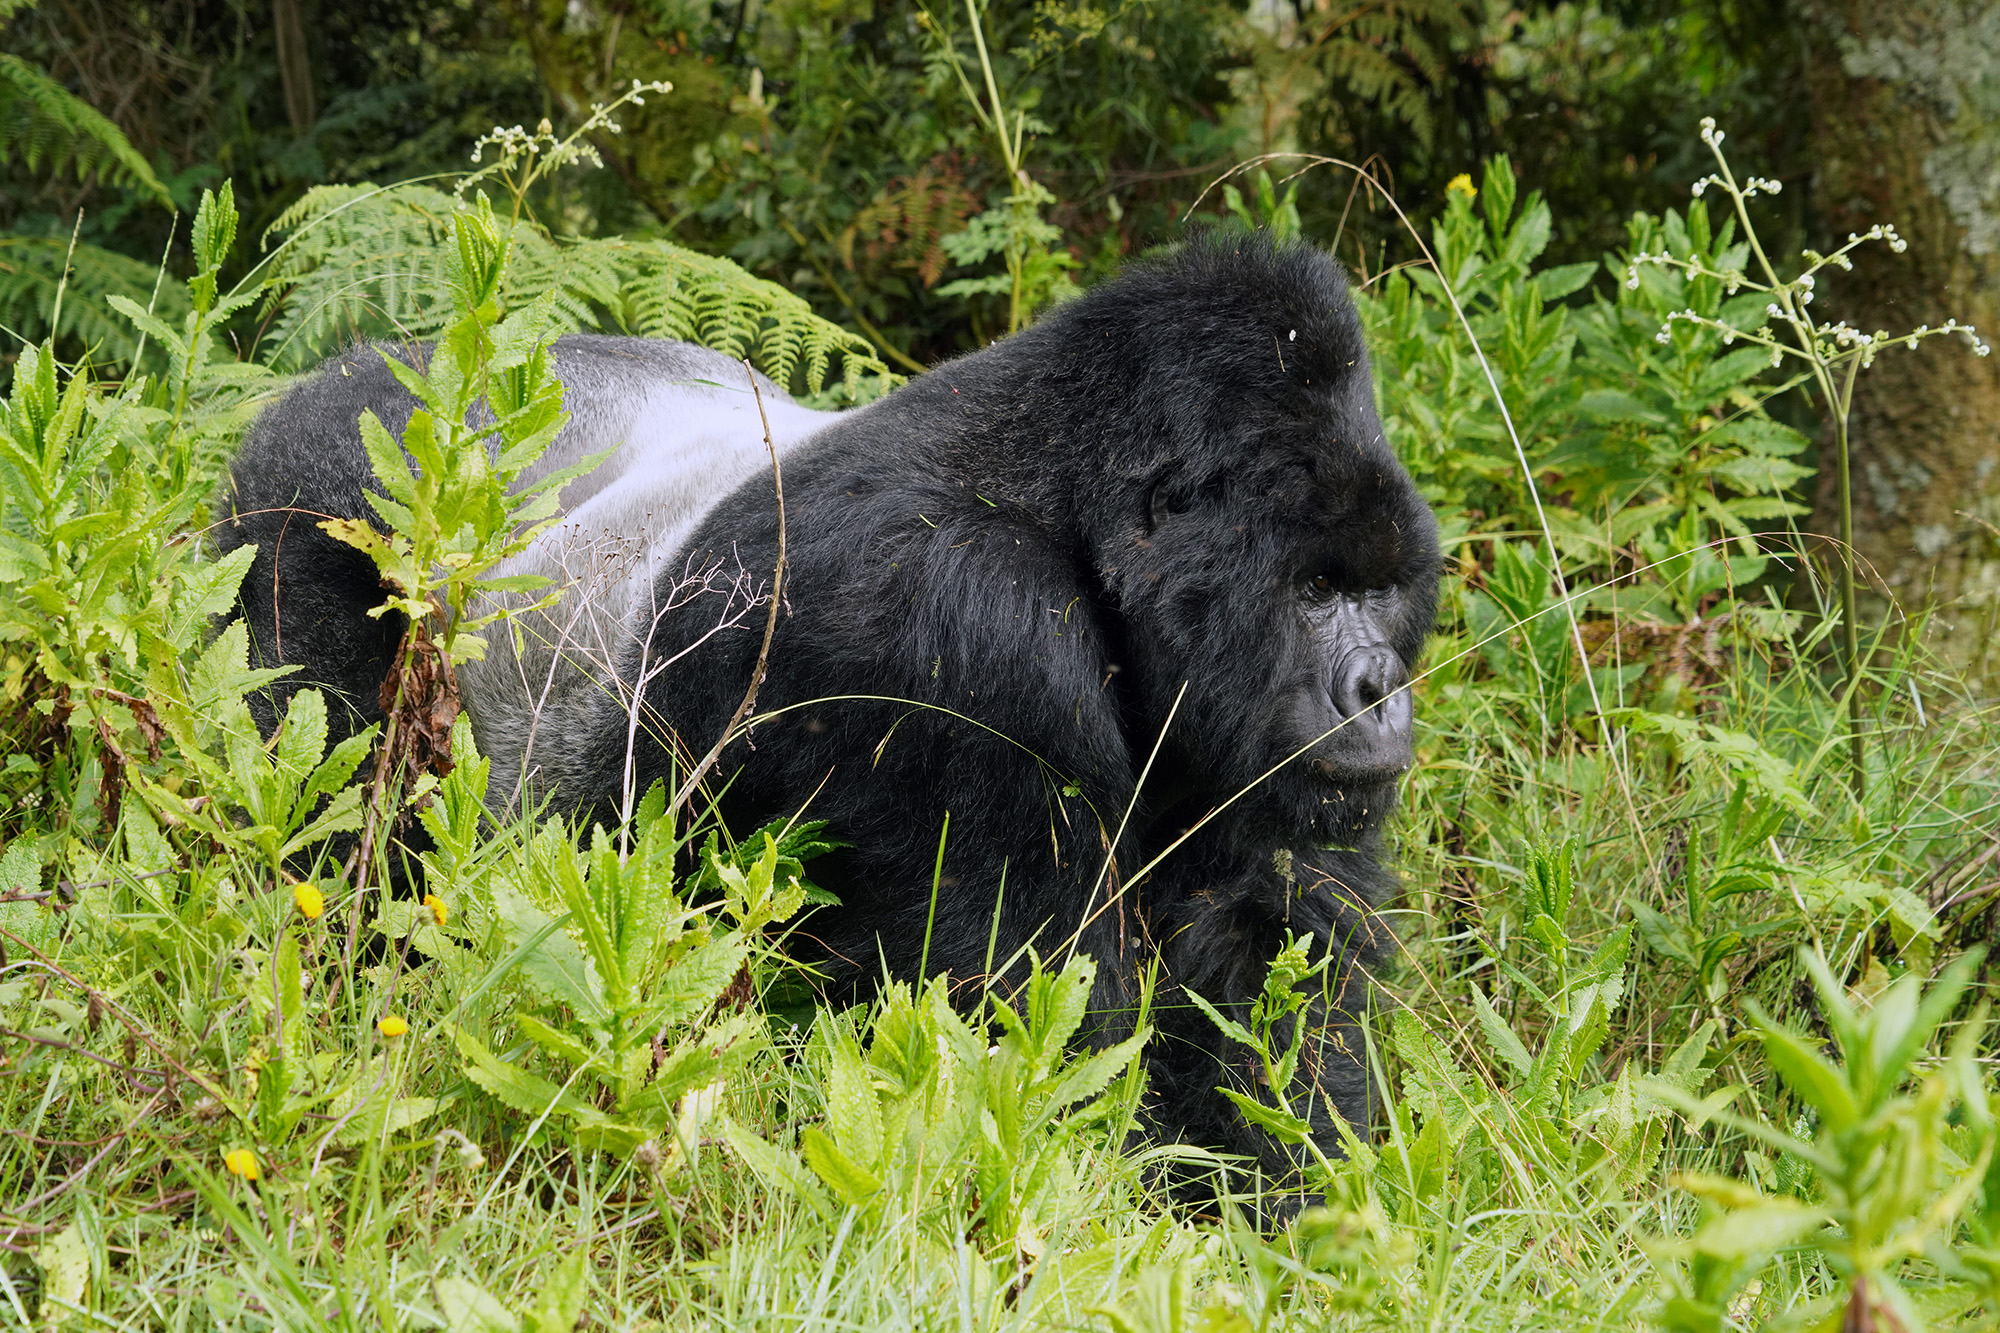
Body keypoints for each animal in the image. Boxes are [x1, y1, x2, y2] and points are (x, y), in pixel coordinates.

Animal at [219, 236, 1440, 1192]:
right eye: (1314, 589)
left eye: (1381, 586)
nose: (1379, 689)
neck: (1060, 499)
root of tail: (326, 376)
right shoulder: (961, 628)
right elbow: (1039, 1062)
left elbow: (1267, 992)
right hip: (299, 516)